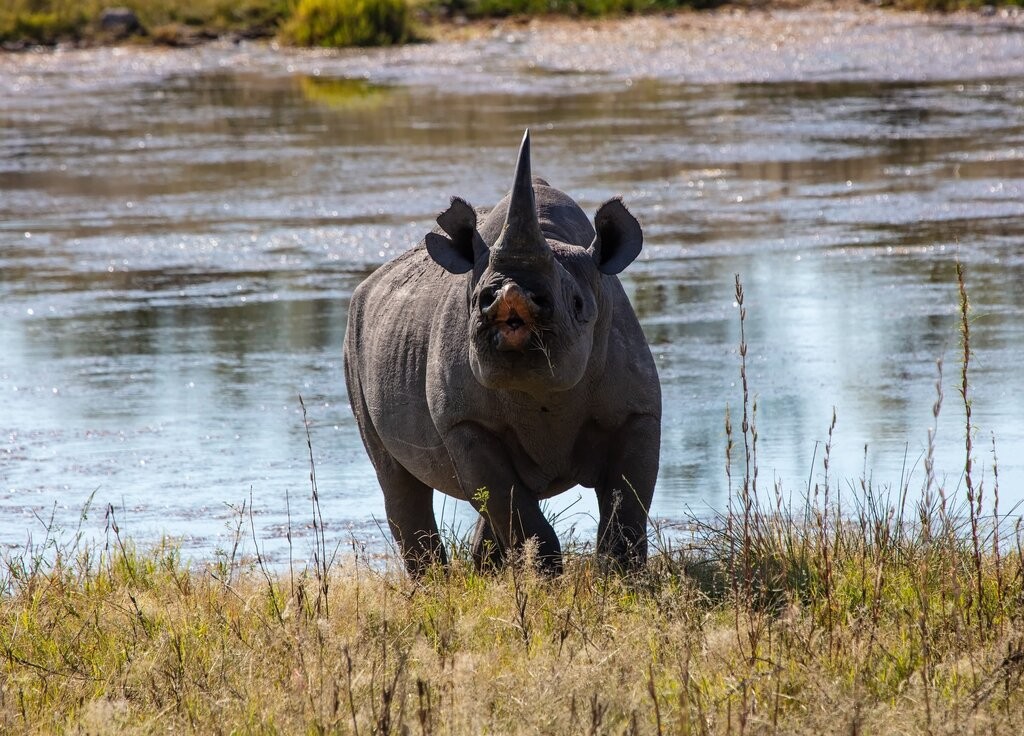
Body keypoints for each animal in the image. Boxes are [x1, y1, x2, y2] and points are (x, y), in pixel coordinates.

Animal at [346, 132, 663, 577]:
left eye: (579, 305)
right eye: (478, 299)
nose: (508, 296)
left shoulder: (638, 411)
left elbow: (627, 505)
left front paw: (620, 579)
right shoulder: (464, 423)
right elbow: (512, 507)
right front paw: (546, 579)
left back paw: (483, 574)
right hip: (353, 338)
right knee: (401, 482)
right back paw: (434, 584)